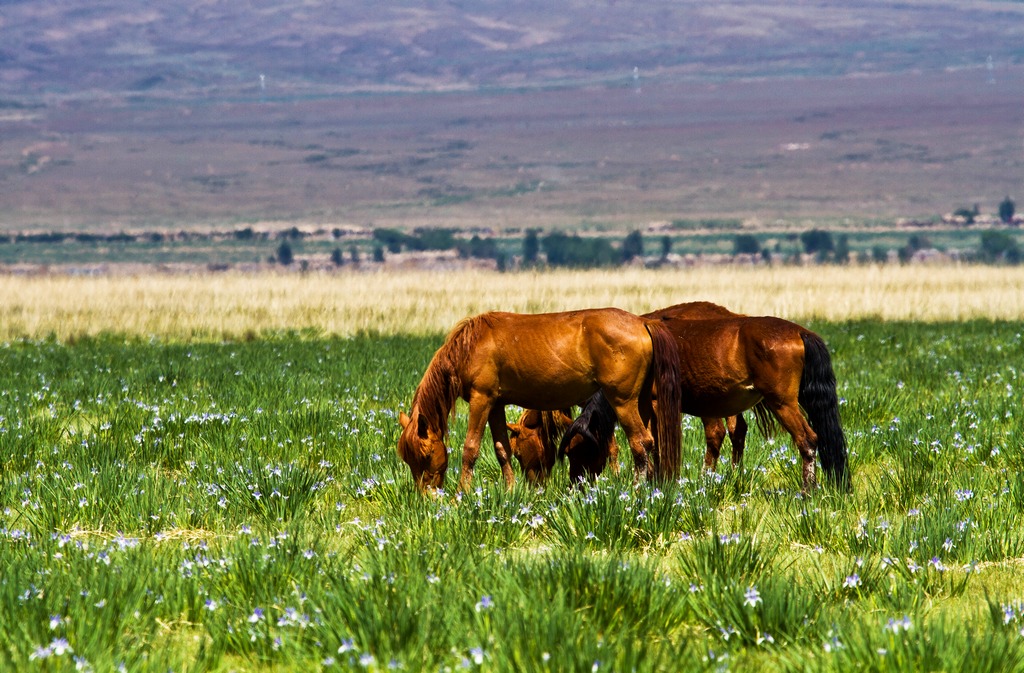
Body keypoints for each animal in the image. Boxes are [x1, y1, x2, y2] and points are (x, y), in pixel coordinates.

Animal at [397, 307, 679, 491]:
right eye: (407, 459)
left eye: (424, 456)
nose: (426, 497)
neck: (471, 346)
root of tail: (642, 323)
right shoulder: (496, 405)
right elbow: (501, 449)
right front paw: (510, 491)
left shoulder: (481, 400)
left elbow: (470, 449)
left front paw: (461, 495)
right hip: (641, 401)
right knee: (649, 441)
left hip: (622, 401)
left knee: (640, 442)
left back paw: (636, 490)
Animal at [561, 301, 847, 491]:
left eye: (578, 451)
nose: (576, 485)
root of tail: (800, 332)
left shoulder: (654, 405)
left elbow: (653, 443)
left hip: (782, 404)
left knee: (807, 440)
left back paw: (806, 490)